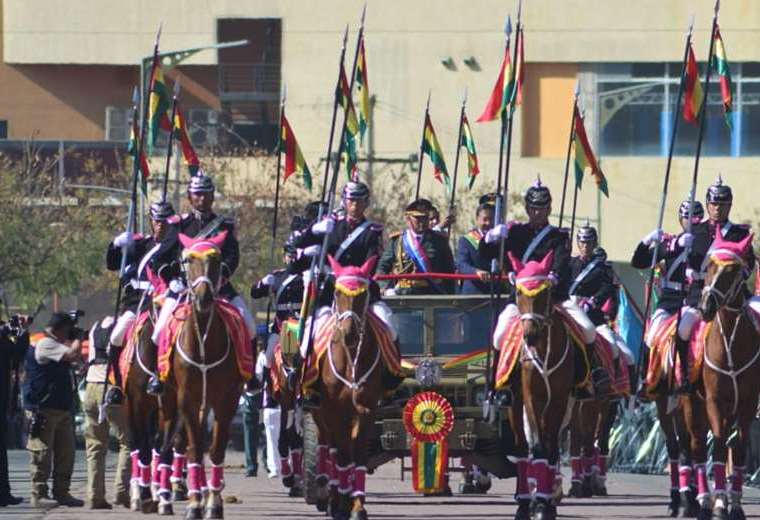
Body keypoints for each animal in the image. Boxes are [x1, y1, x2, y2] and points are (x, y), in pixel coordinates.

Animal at [165, 232, 248, 520]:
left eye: (216, 259)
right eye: (188, 259)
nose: (203, 298)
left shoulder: (226, 400)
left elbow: (216, 449)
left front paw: (213, 503)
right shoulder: (186, 399)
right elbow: (194, 449)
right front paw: (194, 504)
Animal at [504, 252, 576, 520]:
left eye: (546, 292)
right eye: (518, 292)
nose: (530, 335)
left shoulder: (559, 399)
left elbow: (550, 447)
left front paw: (546, 504)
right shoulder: (530, 396)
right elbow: (537, 447)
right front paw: (536, 504)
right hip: (514, 404)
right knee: (522, 449)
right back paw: (525, 502)